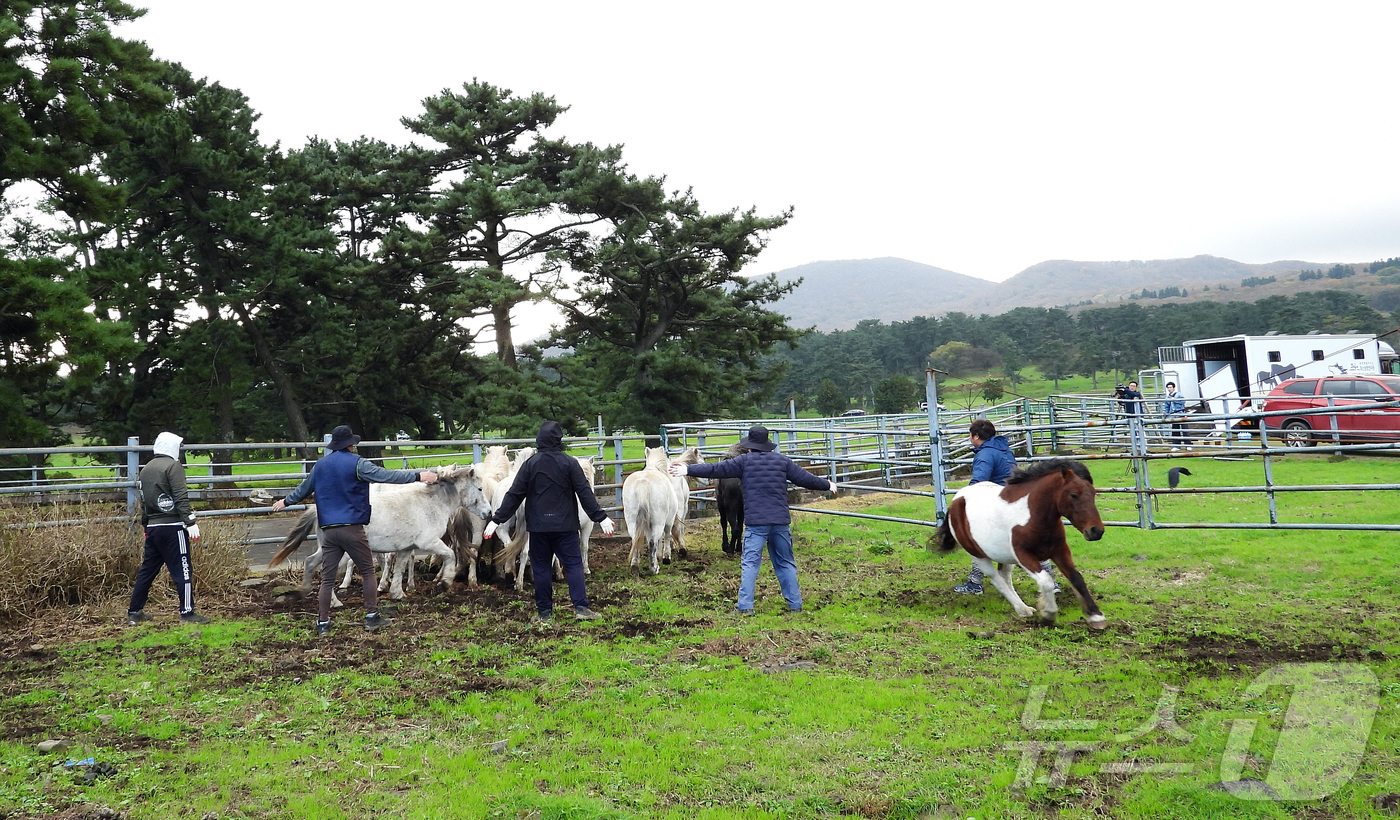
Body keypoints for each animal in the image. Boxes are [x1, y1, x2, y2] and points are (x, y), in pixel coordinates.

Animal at [935, 453, 1108, 626]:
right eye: (1073, 494)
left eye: (1093, 493)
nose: (1096, 531)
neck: (1032, 516)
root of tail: (956, 501)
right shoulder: (1023, 555)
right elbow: (1045, 581)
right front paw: (1048, 614)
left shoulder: (1060, 550)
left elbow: (1076, 578)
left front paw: (1096, 616)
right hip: (978, 555)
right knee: (997, 579)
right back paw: (1022, 609)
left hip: (1003, 556)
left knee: (1005, 577)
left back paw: (1024, 608)